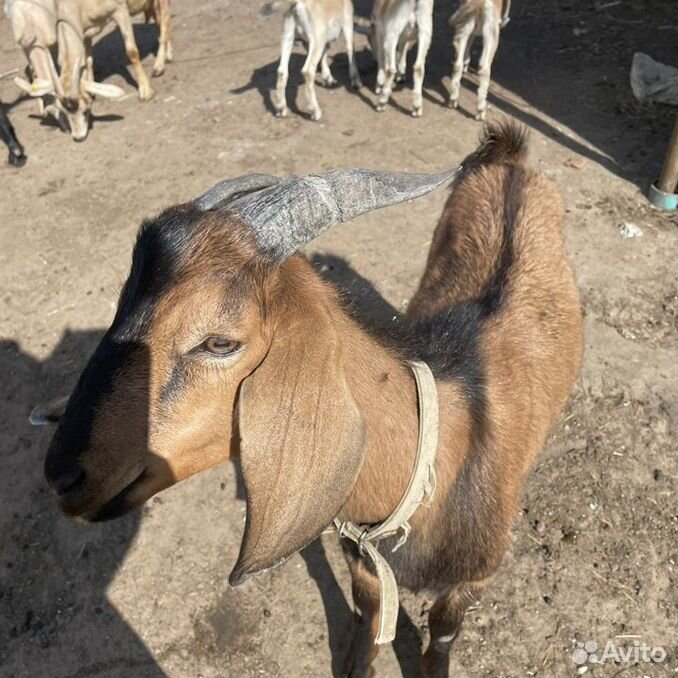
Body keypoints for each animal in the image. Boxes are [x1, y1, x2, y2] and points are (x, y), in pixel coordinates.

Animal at [37, 123, 584, 678]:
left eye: (219, 342)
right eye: (122, 304)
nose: (63, 474)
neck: (438, 456)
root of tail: (512, 159)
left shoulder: (473, 578)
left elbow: (443, 634)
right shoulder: (360, 558)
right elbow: (369, 614)